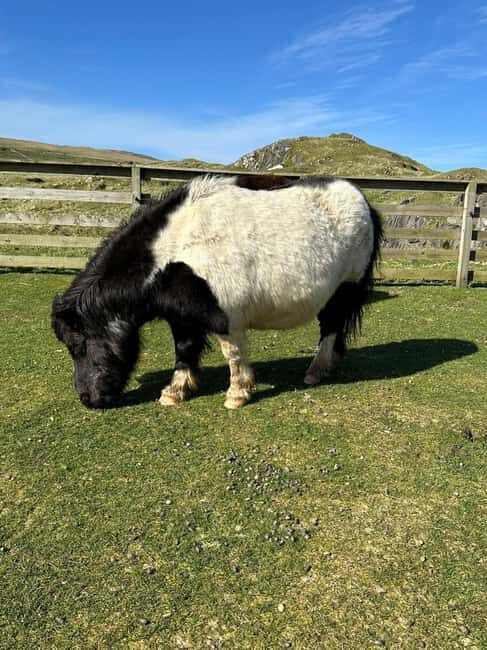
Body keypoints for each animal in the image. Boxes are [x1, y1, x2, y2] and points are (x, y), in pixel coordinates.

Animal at [52, 174, 382, 410]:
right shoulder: (182, 317)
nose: (88, 400)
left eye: (78, 345)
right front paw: (175, 392)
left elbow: (232, 355)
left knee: (330, 328)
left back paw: (315, 371)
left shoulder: (226, 318)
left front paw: (237, 395)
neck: (176, 248)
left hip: (343, 291)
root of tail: (363, 201)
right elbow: (184, 349)